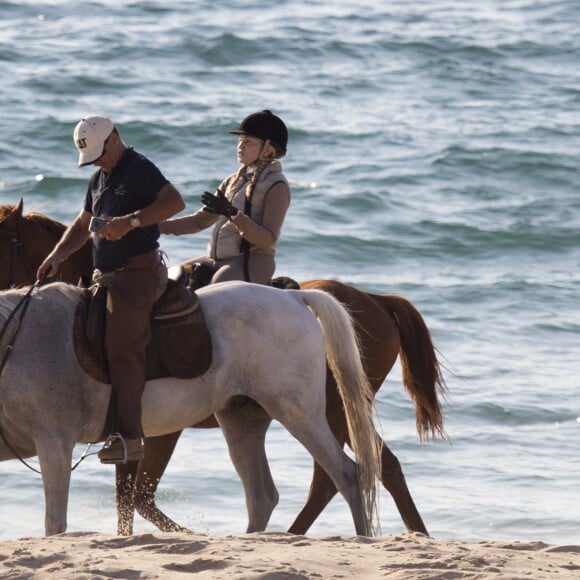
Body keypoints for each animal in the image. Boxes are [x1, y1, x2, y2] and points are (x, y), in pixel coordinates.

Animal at [0, 280, 380, 536]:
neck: (19, 340)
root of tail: (293, 297)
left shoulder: (54, 444)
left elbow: (54, 522)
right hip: (241, 420)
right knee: (261, 495)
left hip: (298, 413)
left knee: (347, 474)